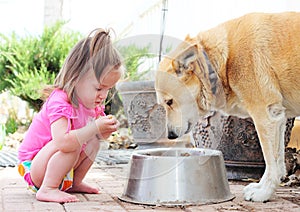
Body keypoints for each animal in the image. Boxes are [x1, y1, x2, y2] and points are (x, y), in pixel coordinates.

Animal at [155, 12, 300, 202]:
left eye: (169, 102)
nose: (170, 136)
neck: (223, 61)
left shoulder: (264, 116)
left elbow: (270, 161)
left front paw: (264, 192)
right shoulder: (277, 117)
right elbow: (277, 162)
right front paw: (263, 186)